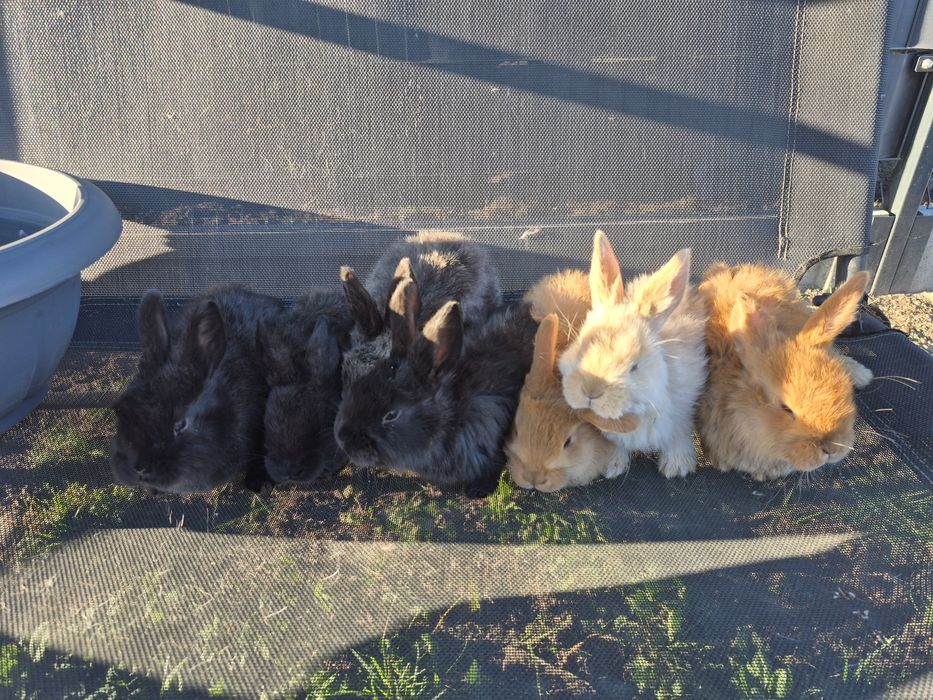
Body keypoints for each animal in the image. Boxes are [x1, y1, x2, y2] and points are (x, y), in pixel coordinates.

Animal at [559, 230, 709, 480]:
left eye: (634, 367)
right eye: (581, 348)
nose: (590, 391)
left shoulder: (682, 413)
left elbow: (678, 435)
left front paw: (677, 467)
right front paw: (612, 465)